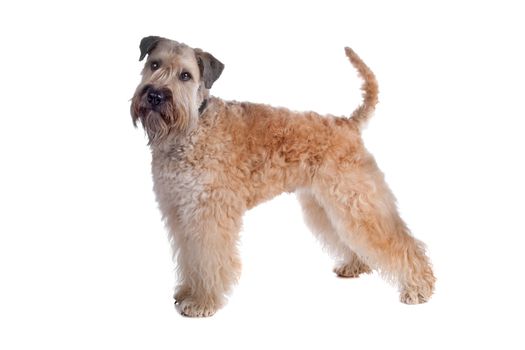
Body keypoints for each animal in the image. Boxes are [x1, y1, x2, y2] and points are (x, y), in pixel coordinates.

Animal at [130, 35, 434, 318]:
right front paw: (187, 292)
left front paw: (202, 302)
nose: (155, 96)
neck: (192, 128)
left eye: (185, 75)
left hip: (357, 201)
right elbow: (189, 258)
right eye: (154, 64)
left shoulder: (208, 214)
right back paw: (355, 265)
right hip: (327, 205)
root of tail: (348, 123)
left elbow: (207, 259)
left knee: (401, 242)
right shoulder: (179, 211)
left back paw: (419, 287)